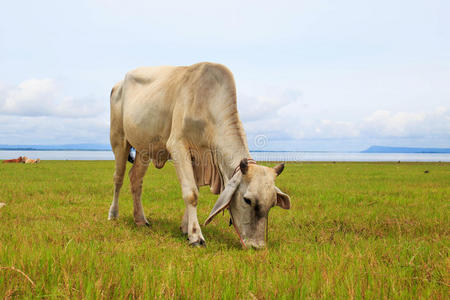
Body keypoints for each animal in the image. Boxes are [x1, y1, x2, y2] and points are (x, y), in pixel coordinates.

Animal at [109, 61, 292, 248]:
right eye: (247, 200)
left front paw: (185, 228)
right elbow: (191, 193)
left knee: (136, 179)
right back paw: (114, 214)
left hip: (144, 150)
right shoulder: (177, 145)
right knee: (118, 178)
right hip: (119, 139)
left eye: (272, 204)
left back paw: (140, 219)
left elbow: (195, 188)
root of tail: (118, 84)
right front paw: (196, 236)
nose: (257, 246)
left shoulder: (200, 158)